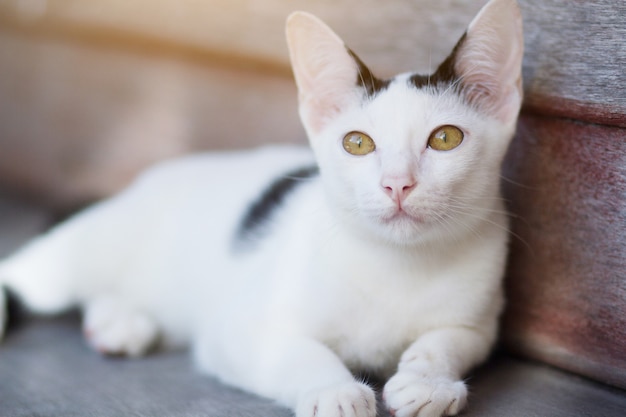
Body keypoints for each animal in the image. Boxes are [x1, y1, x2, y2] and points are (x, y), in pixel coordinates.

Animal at [0, 0, 520, 414]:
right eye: (357, 143)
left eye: (445, 139)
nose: (397, 184)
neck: (397, 265)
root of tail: (140, 182)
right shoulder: (234, 331)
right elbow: (294, 352)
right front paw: (334, 389)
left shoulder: (479, 321)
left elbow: (451, 340)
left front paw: (428, 380)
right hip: (90, 248)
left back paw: (119, 321)